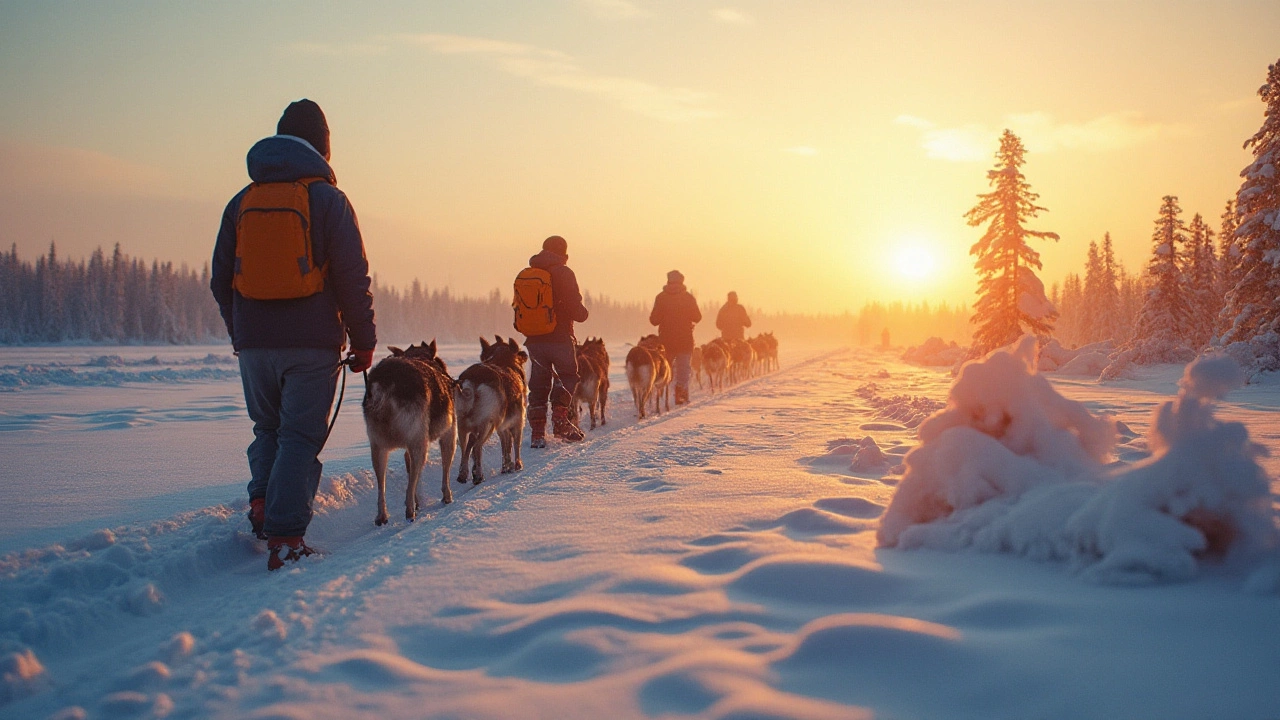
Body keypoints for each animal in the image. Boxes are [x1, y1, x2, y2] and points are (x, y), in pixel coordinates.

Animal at [363, 338, 458, 525]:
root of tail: (385, 385)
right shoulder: (449, 432)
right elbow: (446, 469)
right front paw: (447, 496)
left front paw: (419, 501)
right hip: (419, 443)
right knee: (411, 480)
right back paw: (409, 511)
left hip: (378, 445)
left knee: (381, 485)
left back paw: (382, 516)